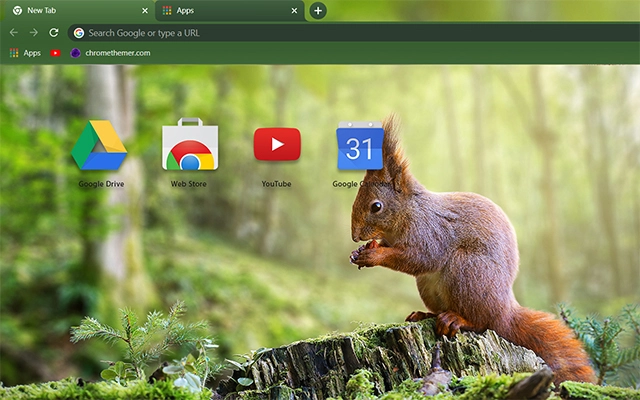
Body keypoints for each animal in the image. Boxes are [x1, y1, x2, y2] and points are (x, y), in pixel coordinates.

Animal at [349, 115, 596, 385]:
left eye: (376, 206)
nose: (354, 236)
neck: (408, 212)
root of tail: (505, 312)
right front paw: (360, 252)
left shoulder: (431, 233)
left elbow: (420, 259)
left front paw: (373, 255)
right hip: (430, 285)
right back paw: (425, 315)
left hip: (468, 271)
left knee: (481, 322)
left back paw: (456, 319)